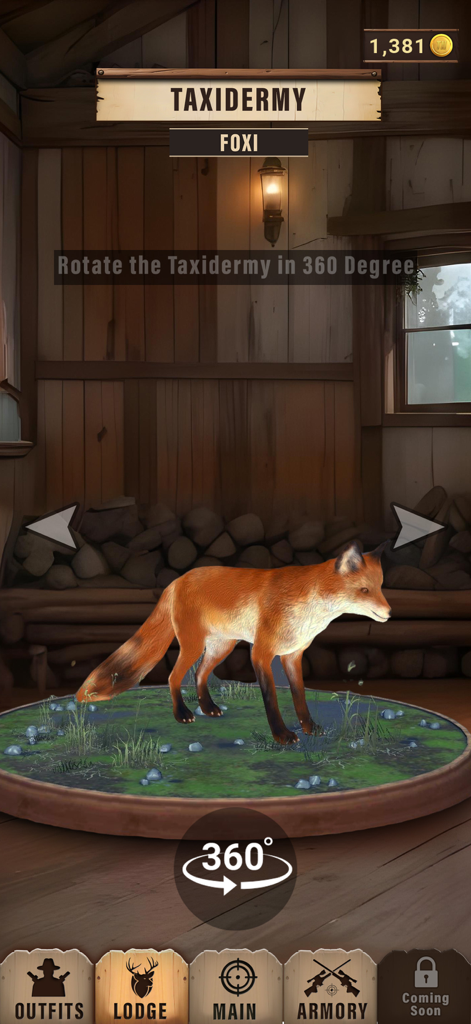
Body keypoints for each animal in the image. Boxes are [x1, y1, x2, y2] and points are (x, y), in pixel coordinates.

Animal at [75, 540, 391, 745]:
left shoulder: (292, 655)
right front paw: (281, 735)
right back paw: (182, 714)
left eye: (380, 587)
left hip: (221, 648)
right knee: (174, 676)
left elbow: (300, 698)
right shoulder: (261, 653)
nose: (389, 612)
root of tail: (177, 580)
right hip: (193, 645)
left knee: (199, 675)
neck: (310, 610)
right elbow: (272, 700)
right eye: (364, 590)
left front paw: (309, 728)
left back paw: (208, 708)